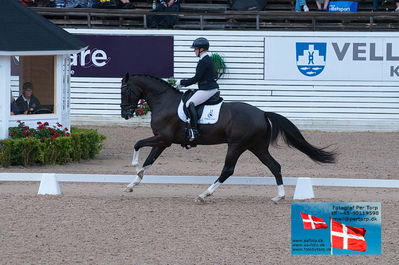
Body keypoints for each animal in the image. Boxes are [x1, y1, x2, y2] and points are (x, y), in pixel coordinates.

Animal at [120, 73, 336, 203]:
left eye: (125, 90)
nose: (125, 114)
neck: (164, 101)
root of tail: (262, 113)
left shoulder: (163, 139)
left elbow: (137, 145)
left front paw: (135, 167)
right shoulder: (163, 141)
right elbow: (149, 161)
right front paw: (133, 184)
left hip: (237, 145)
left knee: (228, 170)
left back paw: (203, 194)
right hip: (257, 147)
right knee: (274, 166)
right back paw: (278, 197)